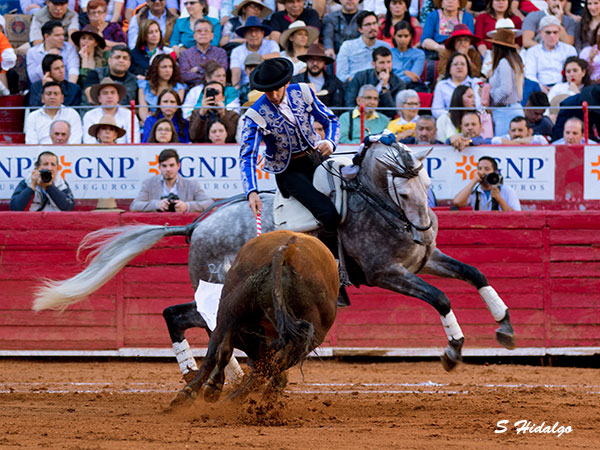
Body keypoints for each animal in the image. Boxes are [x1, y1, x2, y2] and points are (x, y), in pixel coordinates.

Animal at [35, 142, 516, 380]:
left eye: (427, 182)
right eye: (402, 187)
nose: (423, 229)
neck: (370, 200)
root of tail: (196, 226)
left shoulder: (424, 261)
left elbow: (475, 272)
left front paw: (505, 327)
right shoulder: (387, 274)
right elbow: (440, 299)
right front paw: (453, 350)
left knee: (183, 316)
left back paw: (211, 371)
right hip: (223, 292)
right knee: (193, 320)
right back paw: (207, 371)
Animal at [170, 229, 338, 408]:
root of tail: (290, 248)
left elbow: (215, 352)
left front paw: (201, 390)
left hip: (230, 307)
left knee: (242, 357)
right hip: (309, 336)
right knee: (274, 364)